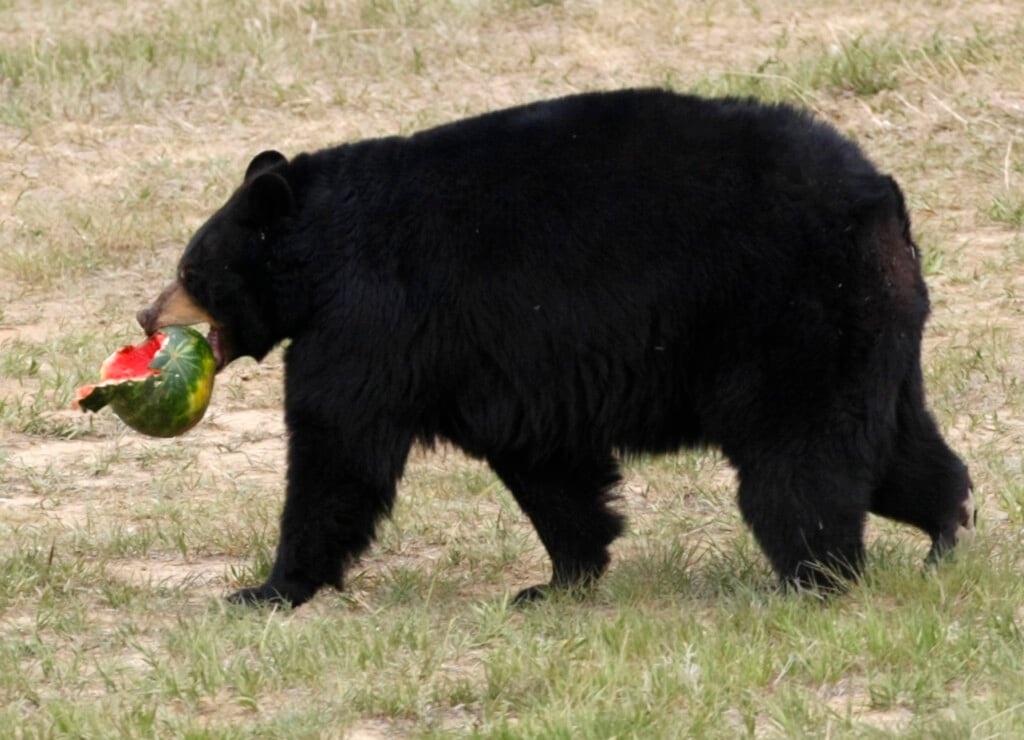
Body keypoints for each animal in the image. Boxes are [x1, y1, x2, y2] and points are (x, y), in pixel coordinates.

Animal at [137, 88, 975, 607]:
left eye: (191, 269)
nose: (146, 316)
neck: (319, 251)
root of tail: (882, 198)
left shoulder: (372, 317)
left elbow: (338, 450)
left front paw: (269, 588)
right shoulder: (504, 366)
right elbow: (549, 467)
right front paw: (558, 580)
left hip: (790, 318)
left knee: (800, 463)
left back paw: (813, 579)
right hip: (867, 332)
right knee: (897, 449)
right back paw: (944, 532)